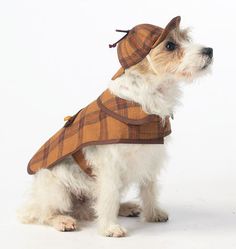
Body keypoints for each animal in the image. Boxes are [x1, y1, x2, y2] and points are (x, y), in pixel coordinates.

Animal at [18, 16, 213, 236]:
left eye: (186, 38)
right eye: (170, 45)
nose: (209, 50)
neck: (144, 97)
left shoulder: (150, 156)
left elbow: (149, 188)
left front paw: (153, 213)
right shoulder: (110, 165)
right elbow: (109, 197)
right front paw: (109, 228)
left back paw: (126, 207)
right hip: (55, 188)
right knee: (42, 213)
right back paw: (62, 220)